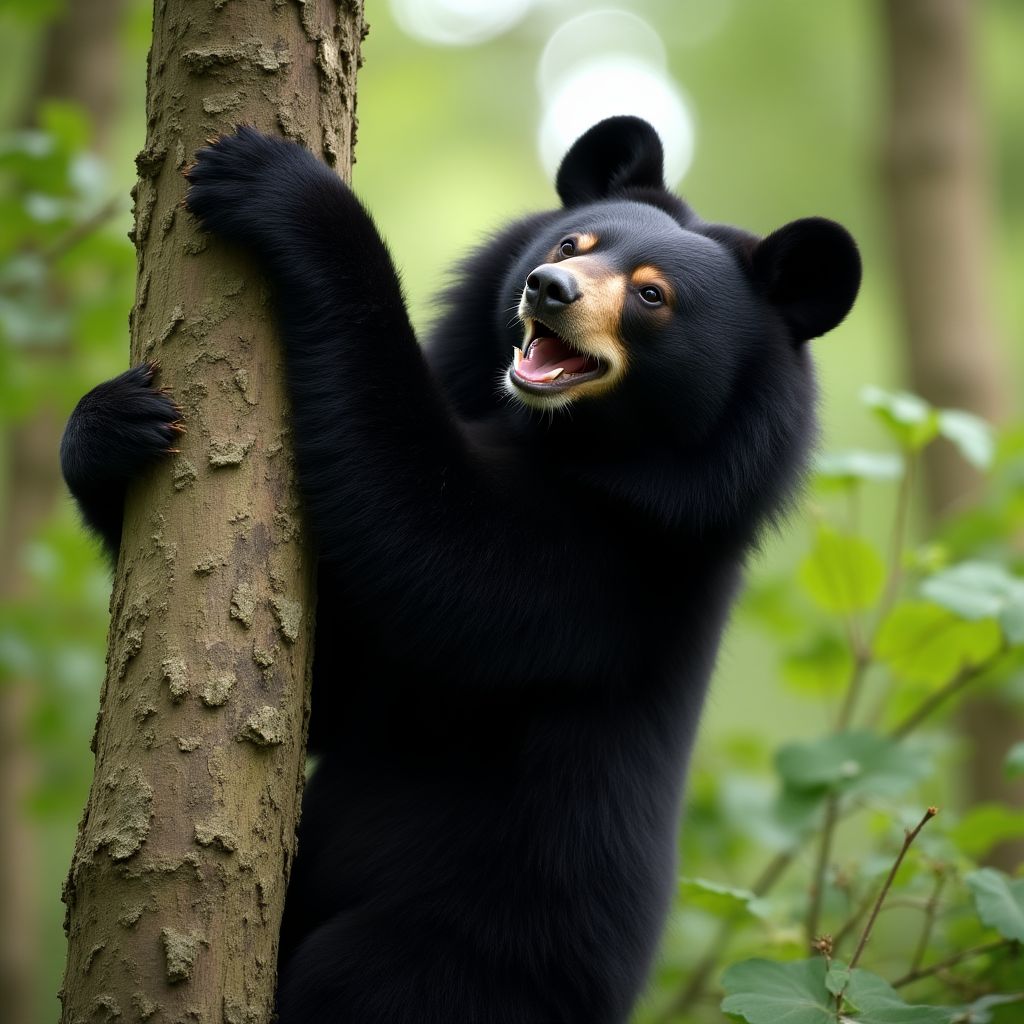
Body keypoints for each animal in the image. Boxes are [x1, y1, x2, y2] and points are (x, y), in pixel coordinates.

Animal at [61, 116, 860, 1024]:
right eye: (571, 243)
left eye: (653, 297)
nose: (548, 288)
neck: (573, 441)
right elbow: (325, 681)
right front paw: (116, 422)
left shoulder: (611, 569)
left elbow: (437, 545)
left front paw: (277, 185)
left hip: (465, 959)